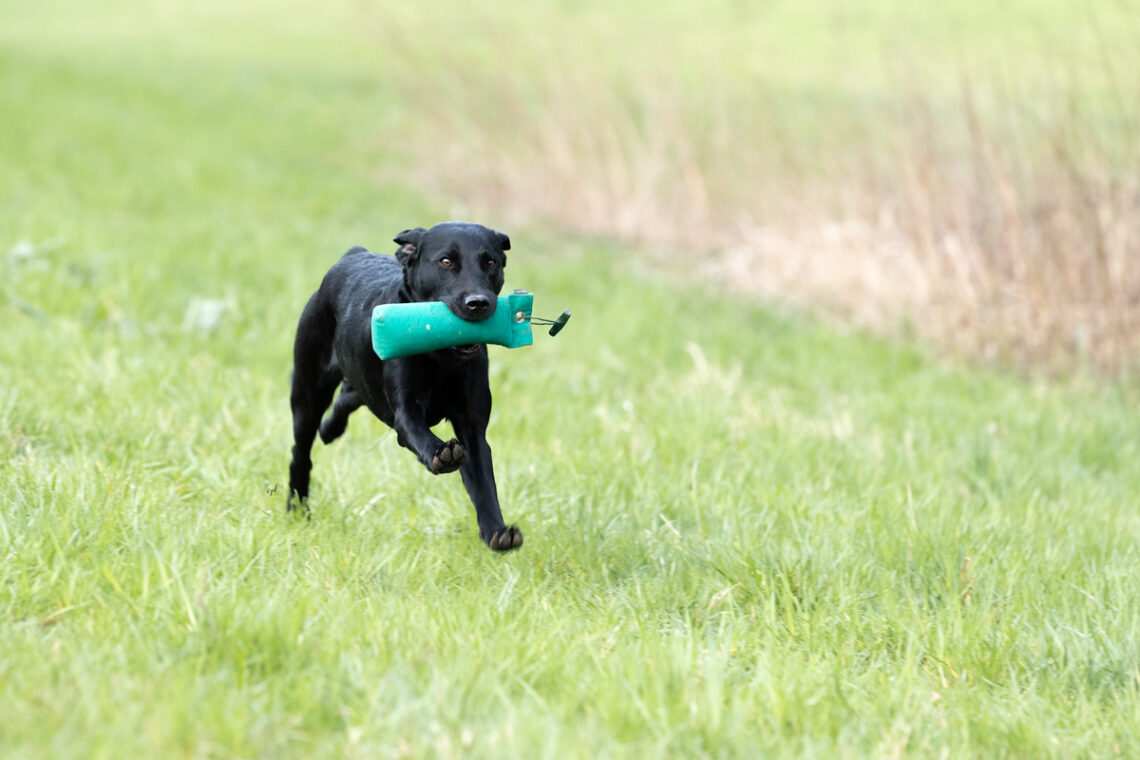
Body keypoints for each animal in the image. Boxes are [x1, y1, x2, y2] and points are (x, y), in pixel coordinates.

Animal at [287, 223, 522, 549]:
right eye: (446, 261)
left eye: (490, 262)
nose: (478, 303)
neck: (442, 356)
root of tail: (354, 254)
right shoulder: (406, 411)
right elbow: (421, 434)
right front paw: (441, 453)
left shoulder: (472, 427)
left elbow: (484, 484)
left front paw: (498, 532)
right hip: (308, 392)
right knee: (301, 454)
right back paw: (296, 509)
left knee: (348, 397)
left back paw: (330, 430)